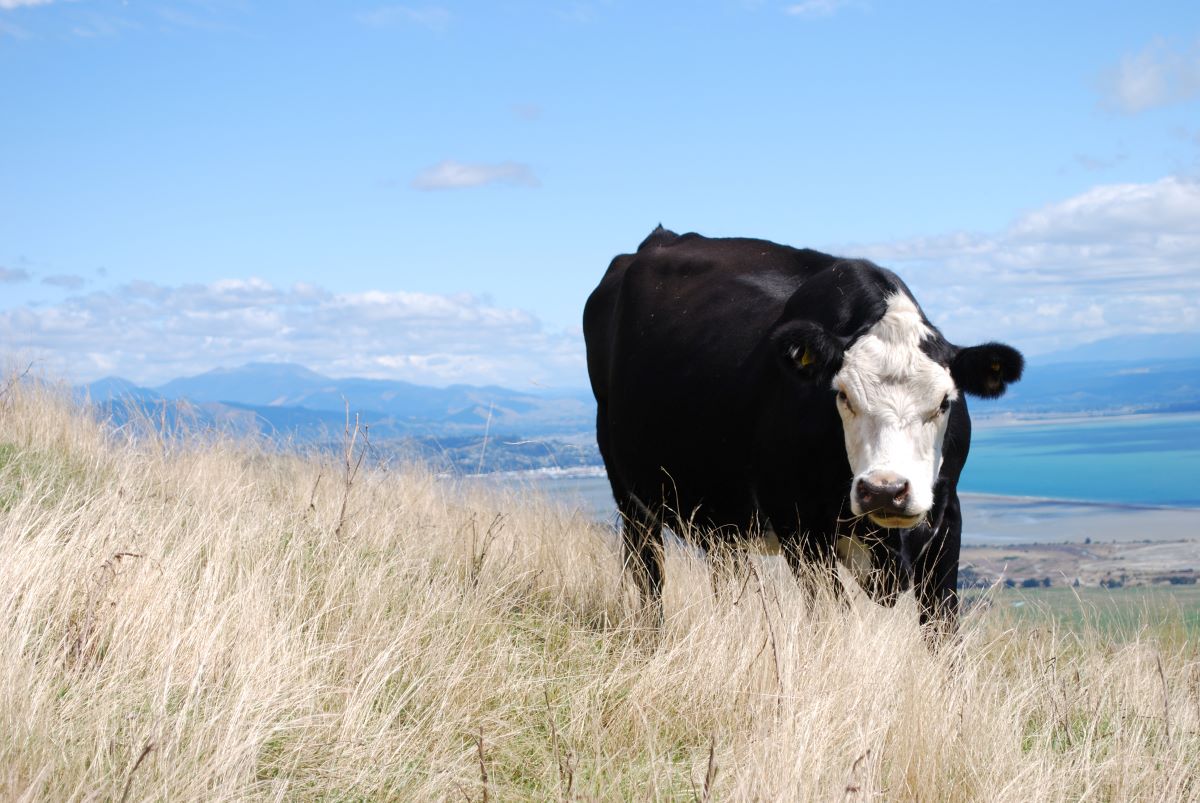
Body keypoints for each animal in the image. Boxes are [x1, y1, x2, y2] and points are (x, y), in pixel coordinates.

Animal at [580, 226, 1022, 633]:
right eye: (842, 395)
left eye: (944, 402)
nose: (885, 490)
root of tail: (659, 237)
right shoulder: (800, 526)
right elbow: (834, 623)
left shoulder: (946, 520)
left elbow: (943, 631)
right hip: (630, 493)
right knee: (647, 572)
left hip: (718, 513)